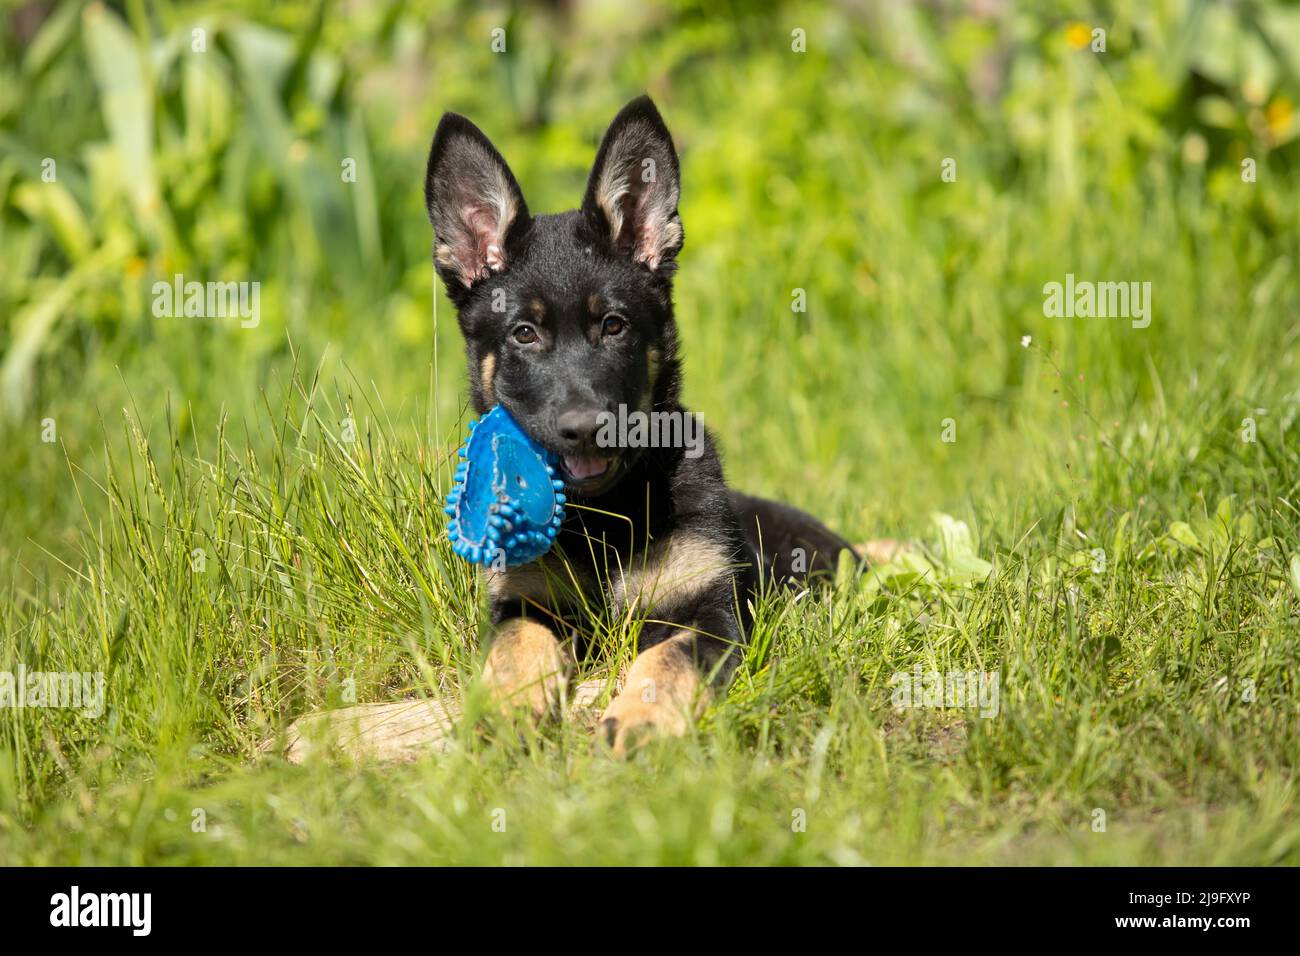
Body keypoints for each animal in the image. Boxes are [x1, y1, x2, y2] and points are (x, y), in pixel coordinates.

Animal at [421, 97, 857, 754]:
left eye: (614, 326)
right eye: (524, 333)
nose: (585, 428)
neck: (601, 516)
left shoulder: (710, 608)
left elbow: (667, 660)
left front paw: (640, 720)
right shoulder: (526, 601)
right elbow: (516, 649)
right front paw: (506, 710)